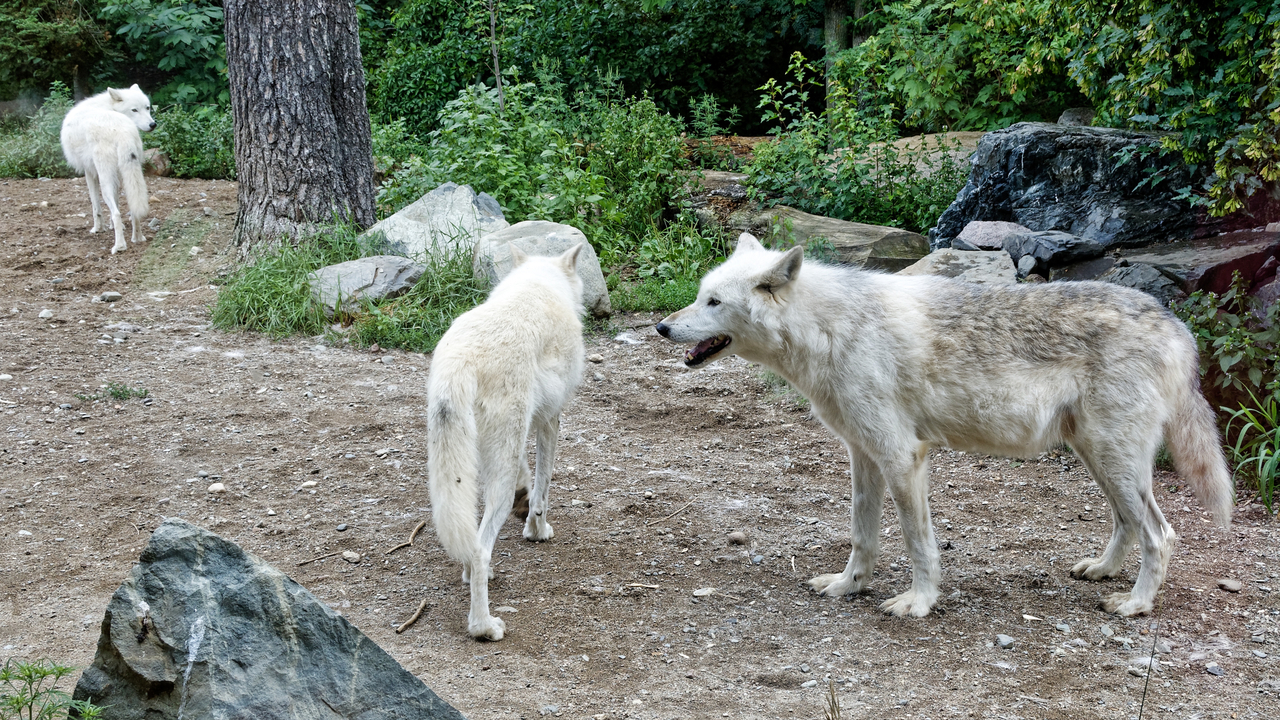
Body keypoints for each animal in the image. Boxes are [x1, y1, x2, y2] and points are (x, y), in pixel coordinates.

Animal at [60, 84, 155, 255]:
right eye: (135, 110)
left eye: (147, 108)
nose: (153, 124)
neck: (107, 106)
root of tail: (123, 132)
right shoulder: (115, 176)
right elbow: (116, 202)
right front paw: (114, 226)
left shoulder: (90, 172)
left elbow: (95, 206)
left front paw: (98, 228)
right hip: (129, 174)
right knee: (133, 209)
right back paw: (137, 238)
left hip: (105, 182)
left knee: (116, 213)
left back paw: (120, 246)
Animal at [428, 244, 586, 640]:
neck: (539, 283)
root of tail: (462, 359)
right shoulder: (549, 419)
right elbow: (543, 490)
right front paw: (537, 531)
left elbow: (527, 477)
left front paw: (523, 498)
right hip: (497, 463)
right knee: (481, 547)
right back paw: (484, 627)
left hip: (465, 462)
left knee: (469, 537)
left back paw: (474, 575)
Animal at [657, 233, 1232, 618]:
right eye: (701, 295)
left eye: (714, 302)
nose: (661, 326)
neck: (831, 329)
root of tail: (1176, 325)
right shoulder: (863, 455)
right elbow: (861, 535)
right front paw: (849, 586)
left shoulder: (901, 458)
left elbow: (918, 542)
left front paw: (918, 601)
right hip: (1099, 458)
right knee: (1128, 522)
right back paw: (1104, 570)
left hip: (1113, 459)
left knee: (1160, 533)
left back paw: (1135, 604)